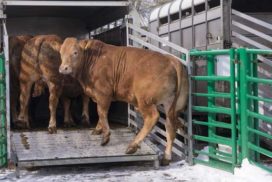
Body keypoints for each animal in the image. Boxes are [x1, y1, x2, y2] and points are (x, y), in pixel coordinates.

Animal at [58, 38, 188, 165]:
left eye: (75, 52)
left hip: (145, 100)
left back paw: (133, 145)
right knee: (170, 126)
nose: (63, 68)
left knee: (152, 118)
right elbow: (101, 113)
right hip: (170, 104)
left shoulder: (103, 93)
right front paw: (98, 129)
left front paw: (105, 136)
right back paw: (166, 157)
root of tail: (170, 59)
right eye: (61, 53)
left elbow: (102, 112)